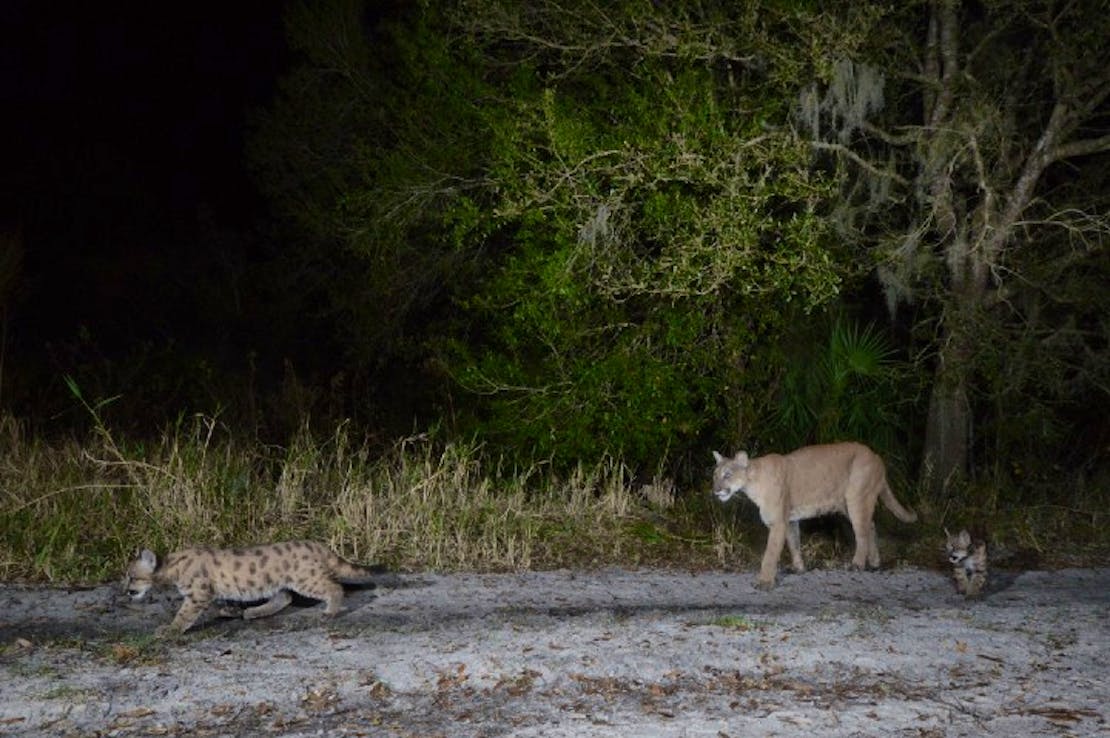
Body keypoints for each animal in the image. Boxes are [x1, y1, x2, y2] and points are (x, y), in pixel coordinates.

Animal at [126, 534, 381, 634]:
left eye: (132, 577)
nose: (126, 592)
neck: (174, 566)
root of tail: (317, 545)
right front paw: (228, 611)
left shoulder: (198, 594)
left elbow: (184, 614)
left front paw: (169, 630)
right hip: (279, 581)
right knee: (285, 597)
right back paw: (254, 612)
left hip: (305, 578)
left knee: (334, 587)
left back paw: (330, 612)